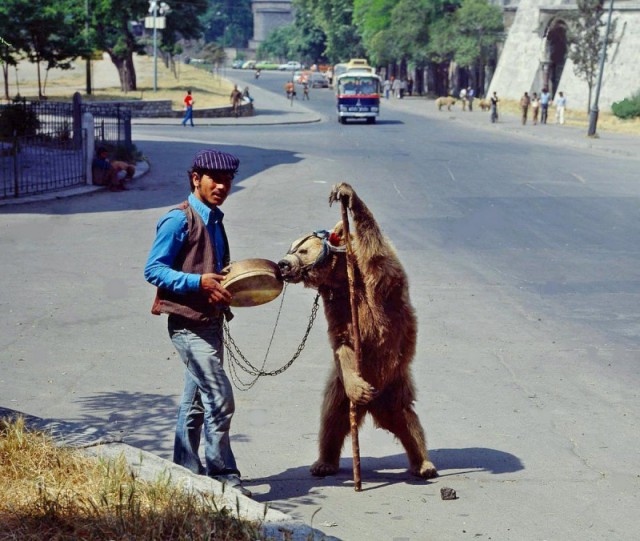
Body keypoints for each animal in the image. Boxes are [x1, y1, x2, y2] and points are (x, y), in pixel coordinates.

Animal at [278, 184, 438, 478]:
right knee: (332, 419)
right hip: (343, 387)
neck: (342, 276)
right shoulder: (336, 302)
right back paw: (323, 462)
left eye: (303, 250)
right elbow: (343, 339)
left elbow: (375, 246)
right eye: (291, 246)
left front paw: (347, 195)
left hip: (394, 385)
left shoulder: (376, 279)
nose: (283, 264)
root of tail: (374, 407)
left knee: (407, 420)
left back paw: (424, 464)